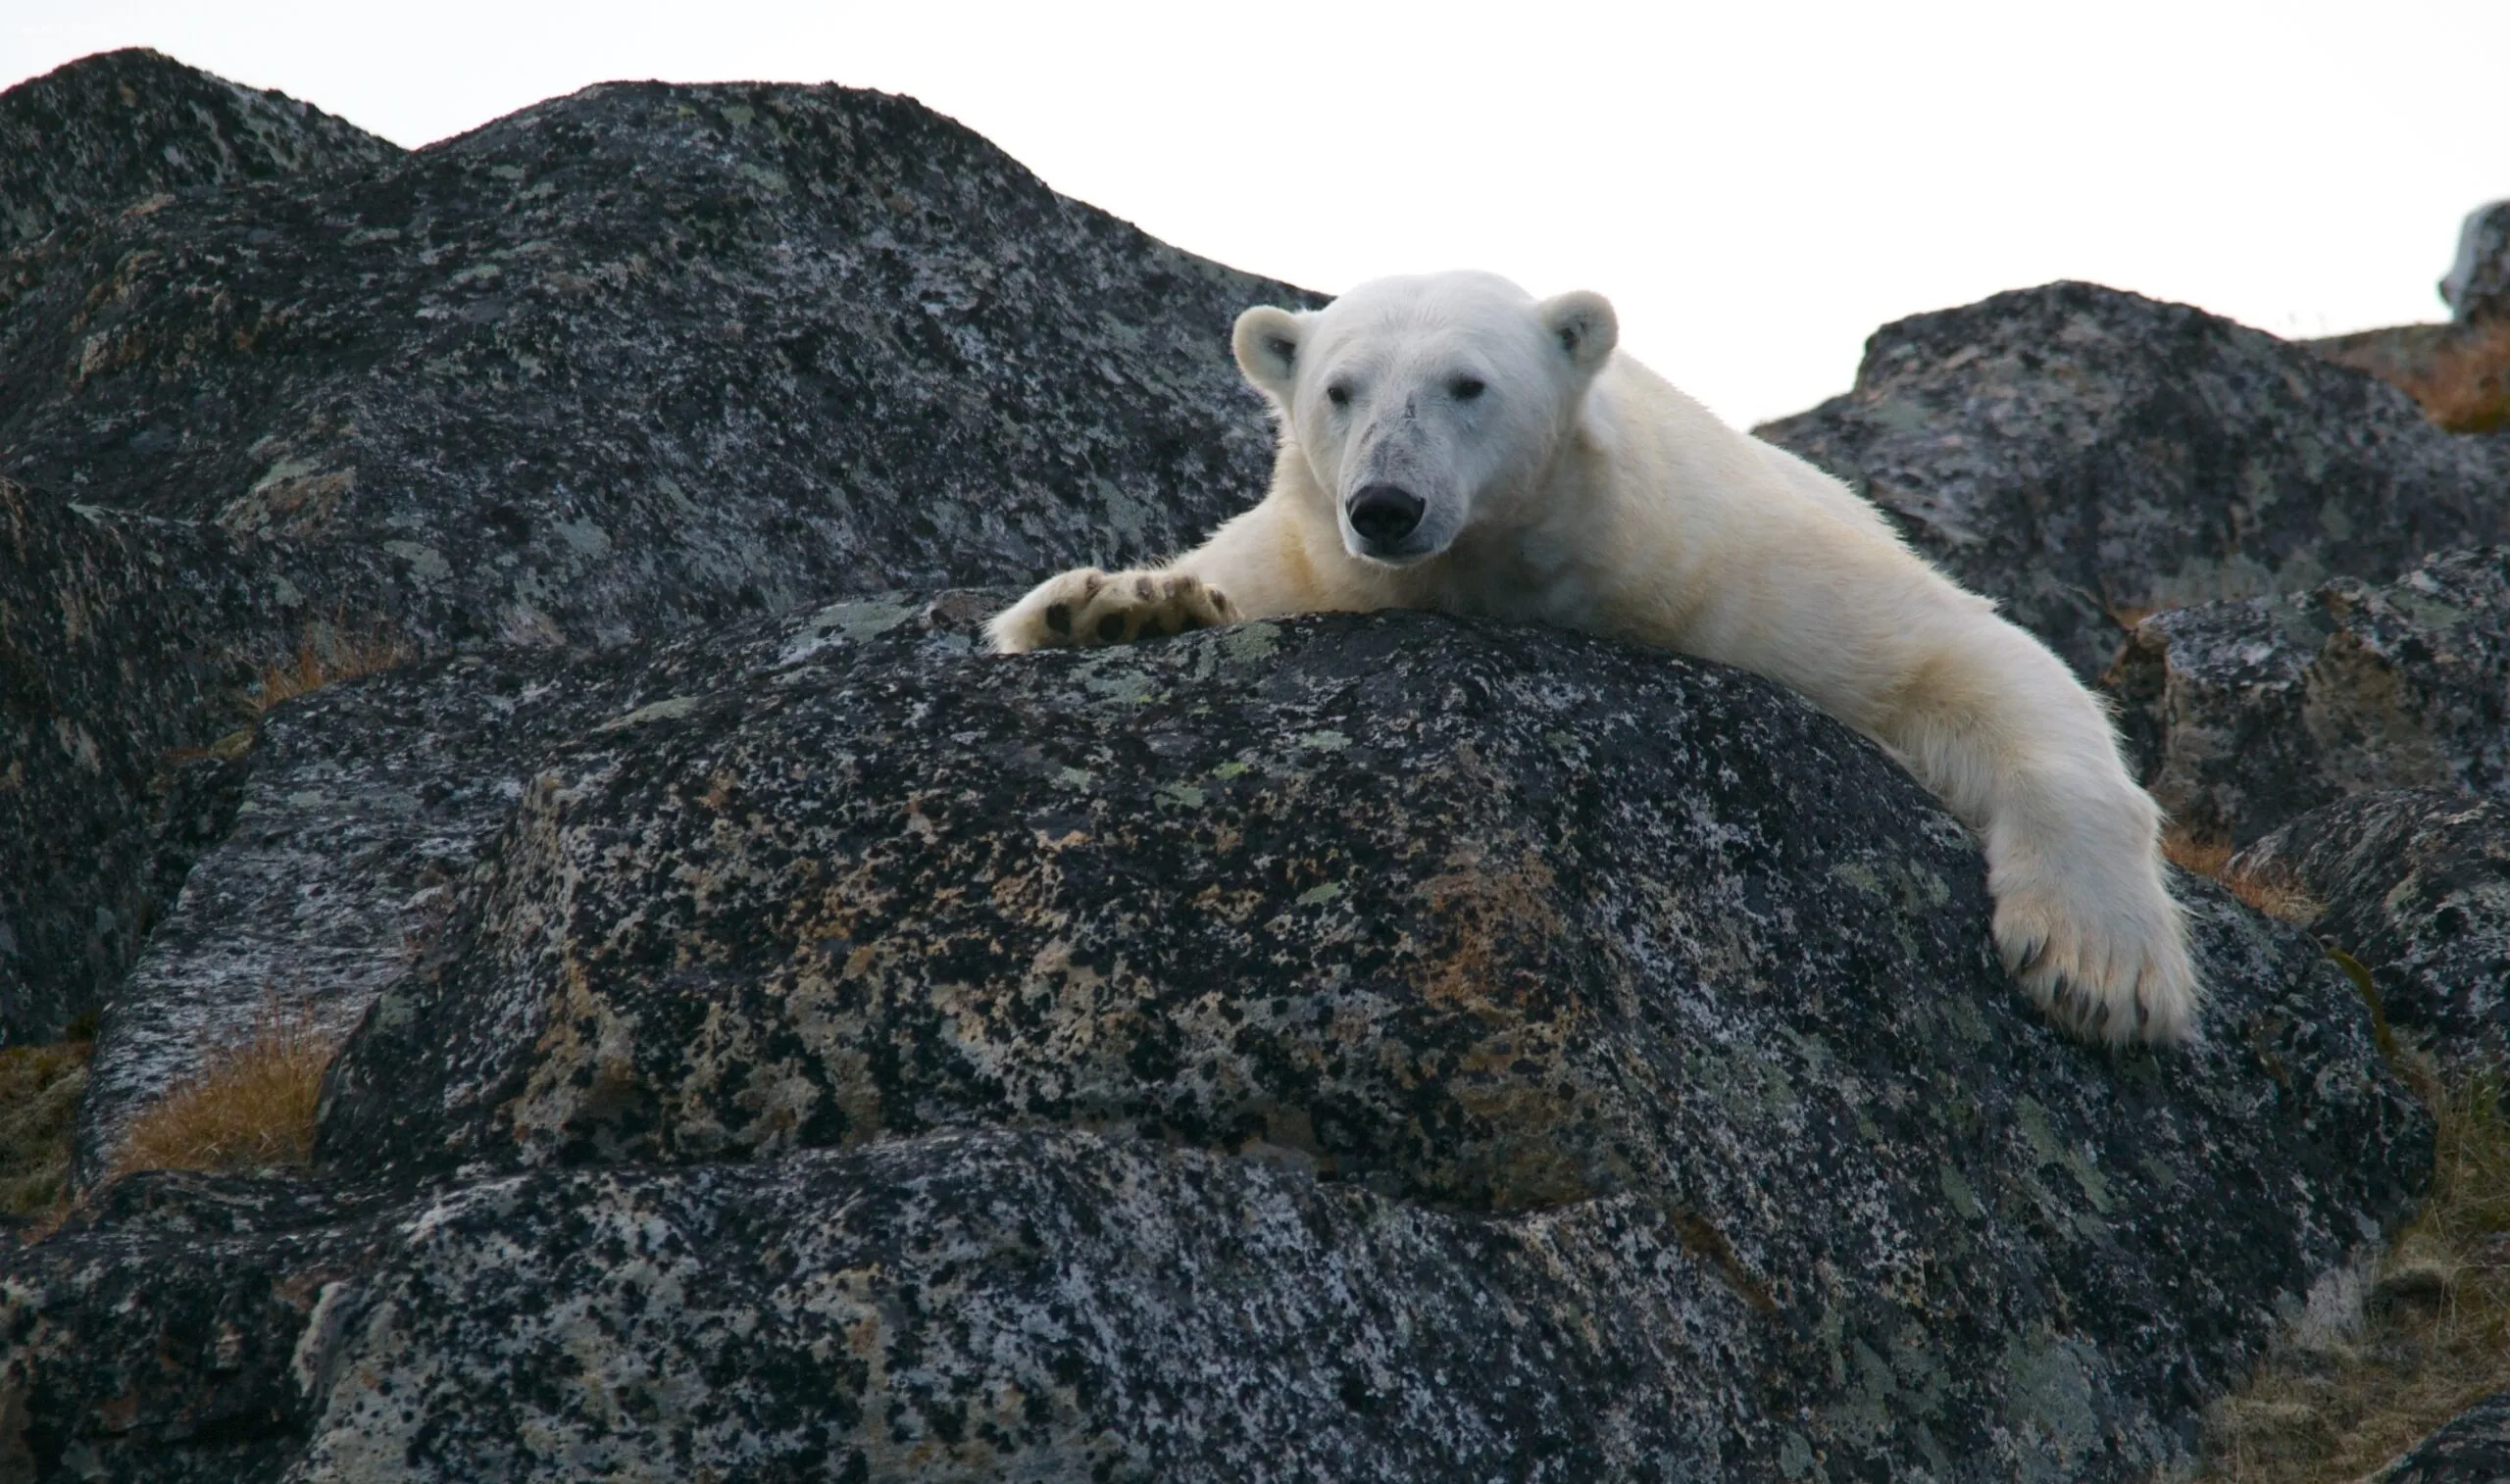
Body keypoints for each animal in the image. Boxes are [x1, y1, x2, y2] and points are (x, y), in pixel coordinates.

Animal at [988, 272, 2208, 1049]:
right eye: (1338, 389)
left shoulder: (1732, 565)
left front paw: (2099, 970)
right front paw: (1116, 608)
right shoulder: (1306, 556)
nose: (1385, 503)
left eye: (1467, 383)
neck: (1513, 568)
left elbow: (1963, 655)